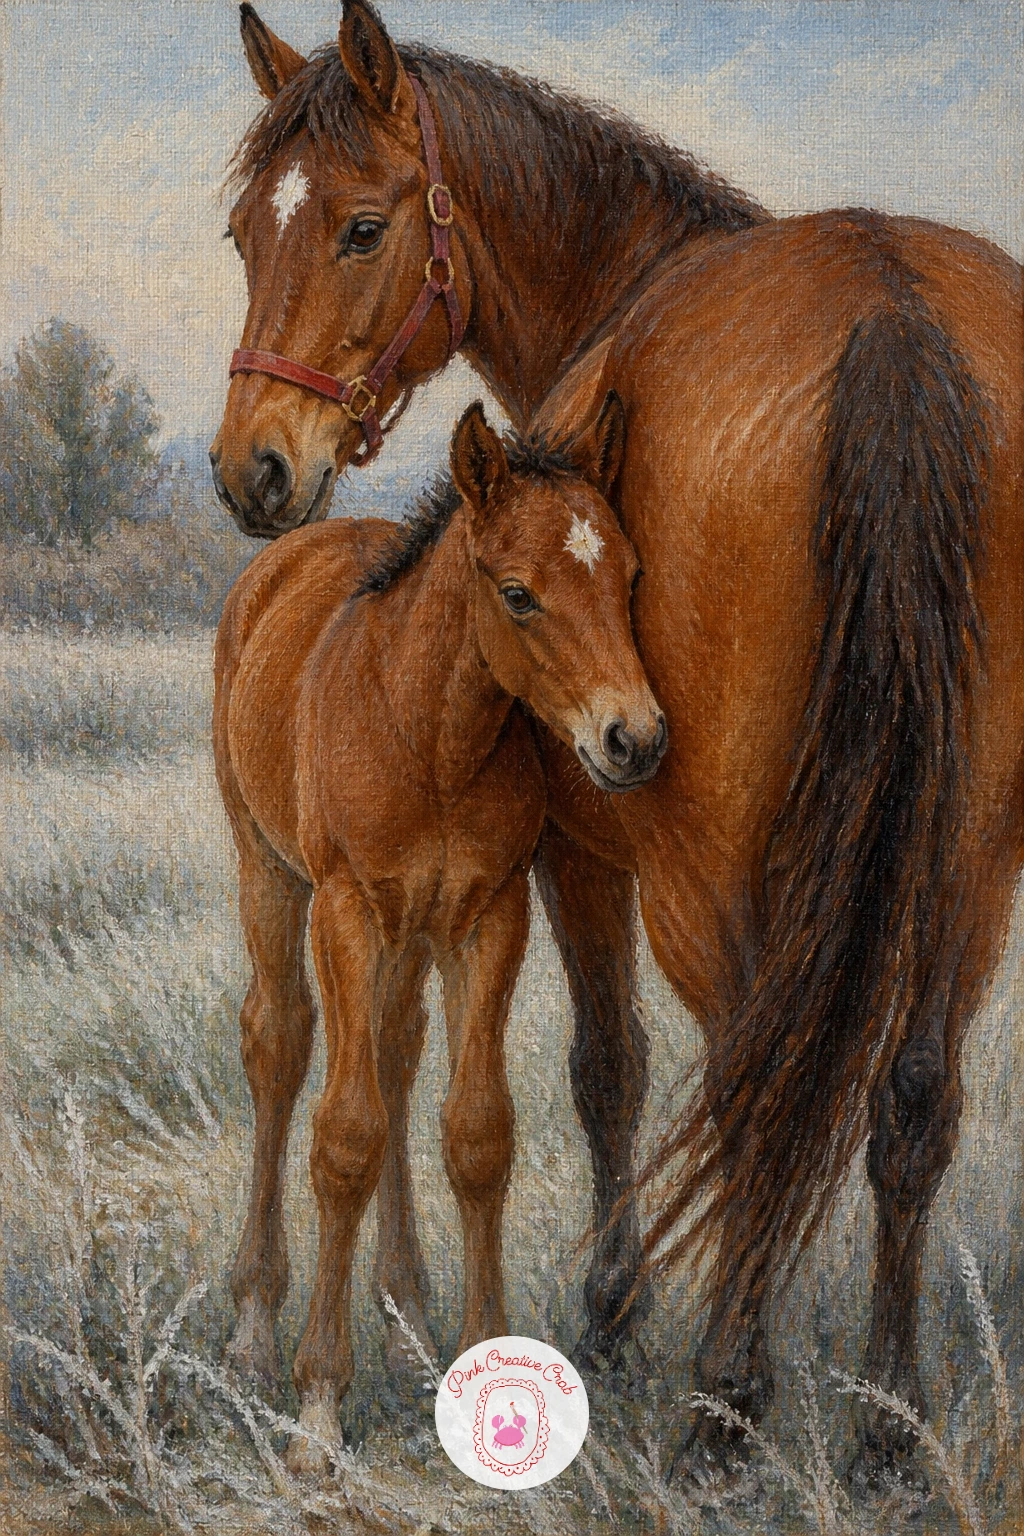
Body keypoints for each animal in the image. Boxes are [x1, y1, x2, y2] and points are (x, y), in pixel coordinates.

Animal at [214, 392, 666, 1467]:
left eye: (629, 576)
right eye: (518, 594)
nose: (633, 740)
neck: (429, 733)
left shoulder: (486, 915)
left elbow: (475, 1131)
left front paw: (474, 1357)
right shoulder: (343, 908)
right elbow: (343, 1136)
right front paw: (317, 1409)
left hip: (408, 935)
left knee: (392, 1051)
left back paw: (408, 1316)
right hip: (270, 873)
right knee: (280, 1045)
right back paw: (252, 1328)